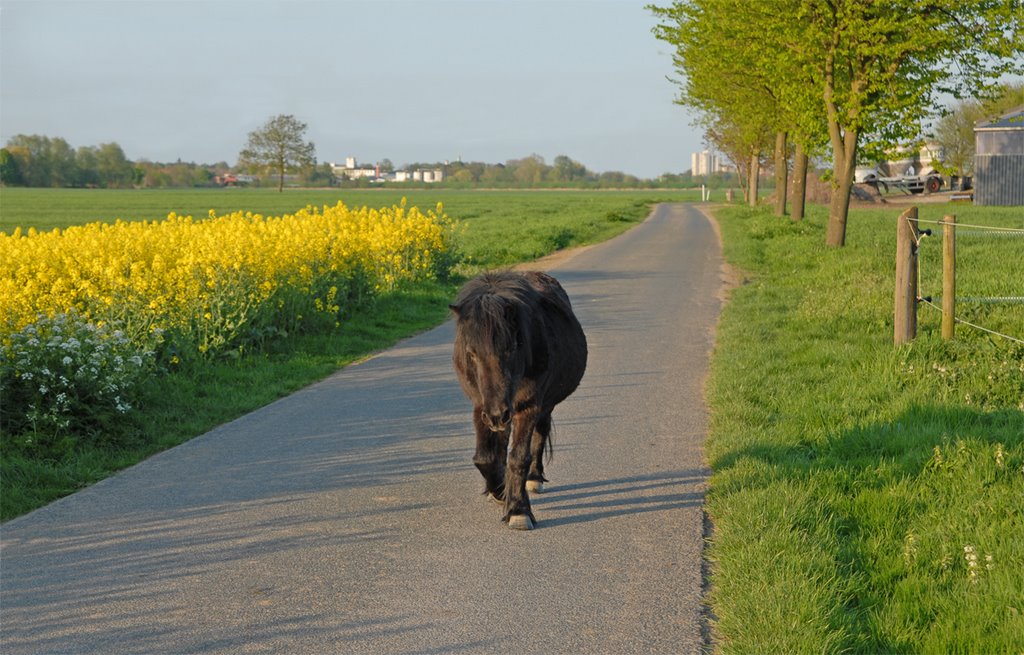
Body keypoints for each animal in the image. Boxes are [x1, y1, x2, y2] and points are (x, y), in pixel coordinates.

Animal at [452, 268, 589, 528]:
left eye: (512, 348)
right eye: (471, 353)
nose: (497, 414)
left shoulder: (528, 406)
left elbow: (518, 458)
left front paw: (517, 509)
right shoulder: (481, 406)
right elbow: (485, 457)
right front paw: (498, 491)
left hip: (540, 406)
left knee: (539, 436)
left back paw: (534, 478)